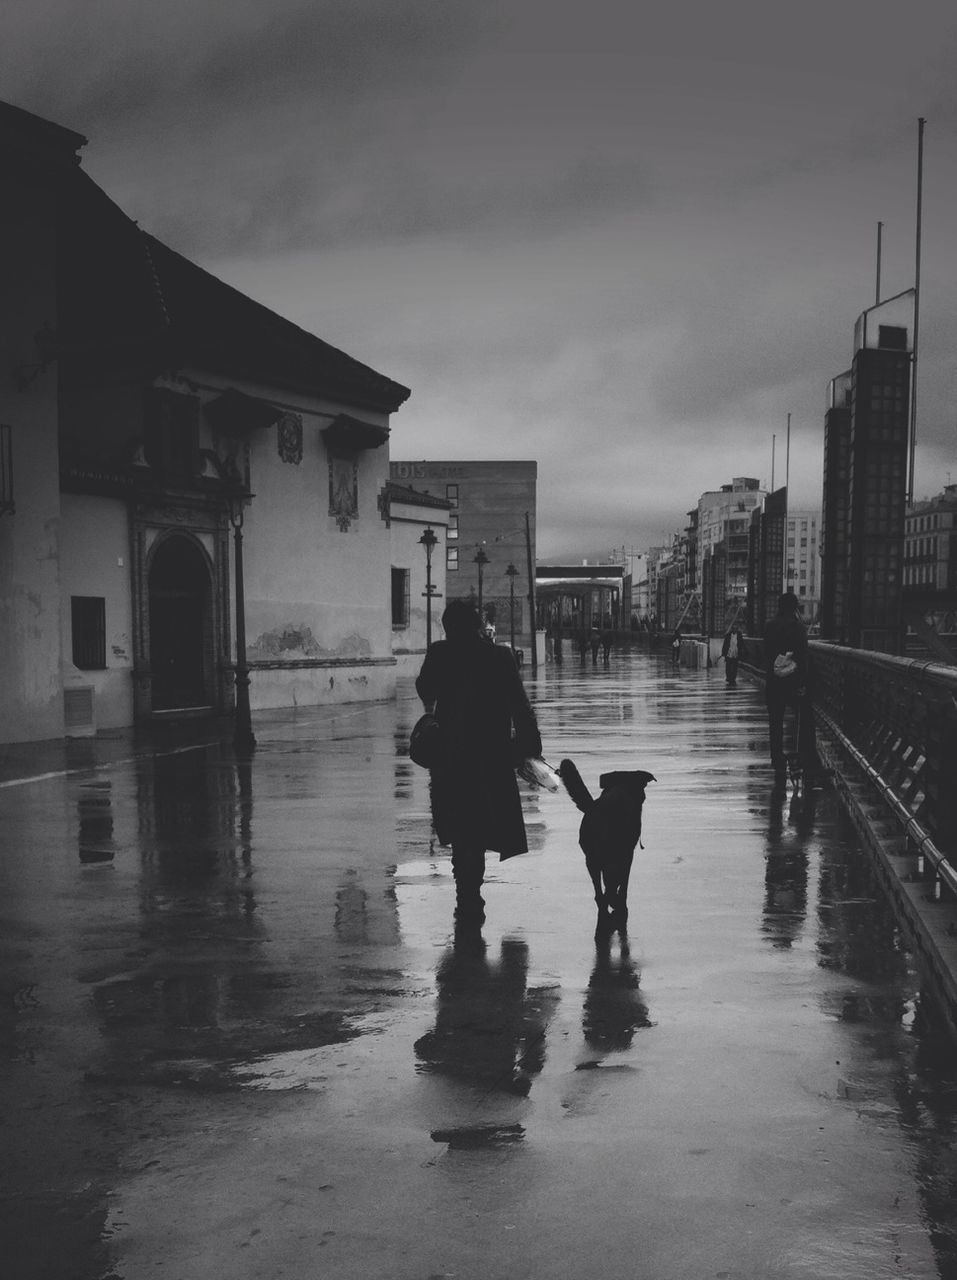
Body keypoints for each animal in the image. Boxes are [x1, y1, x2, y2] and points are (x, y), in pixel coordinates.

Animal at [557, 757, 655, 931]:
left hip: (592, 859)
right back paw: (613, 903)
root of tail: (595, 809)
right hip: (612, 855)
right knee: (610, 885)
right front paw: (618, 900)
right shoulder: (627, 855)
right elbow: (622, 882)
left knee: (599, 892)